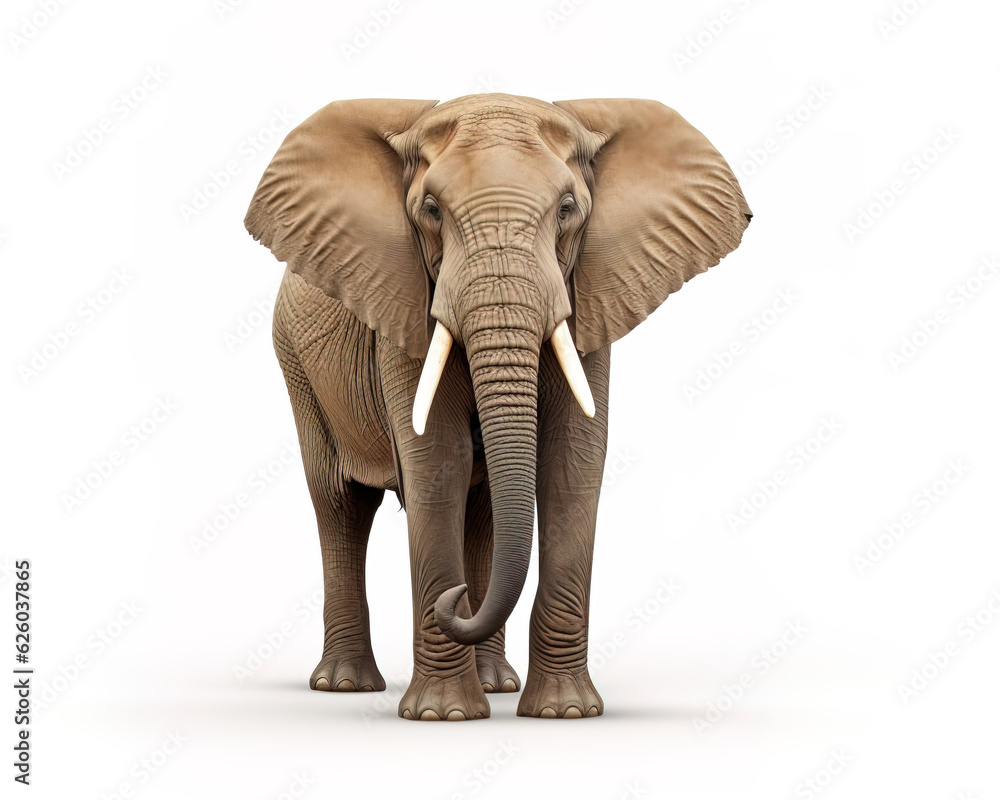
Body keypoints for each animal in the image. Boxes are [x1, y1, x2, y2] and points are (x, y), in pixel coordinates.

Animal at [244, 93, 751, 720]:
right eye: (430, 209)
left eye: (568, 209)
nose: (455, 599)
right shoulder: (406, 307)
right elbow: (437, 462)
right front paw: (442, 716)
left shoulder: (587, 296)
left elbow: (573, 464)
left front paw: (565, 713)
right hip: (295, 360)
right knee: (341, 503)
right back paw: (345, 685)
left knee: (482, 511)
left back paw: (497, 684)